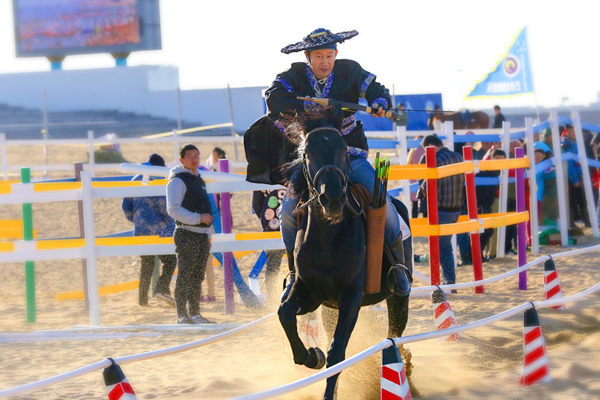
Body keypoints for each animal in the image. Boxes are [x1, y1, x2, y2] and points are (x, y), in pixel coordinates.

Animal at [278, 120, 412, 398]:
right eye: (308, 152)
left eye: (343, 150)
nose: (333, 199)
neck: (328, 238)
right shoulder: (310, 293)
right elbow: (285, 312)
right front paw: (311, 356)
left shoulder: (351, 297)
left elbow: (337, 353)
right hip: (329, 308)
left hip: (396, 296)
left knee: (395, 332)